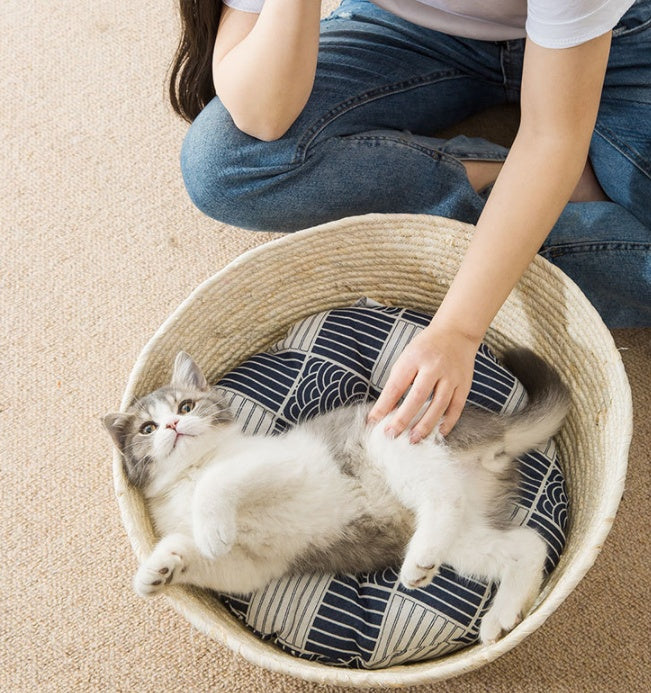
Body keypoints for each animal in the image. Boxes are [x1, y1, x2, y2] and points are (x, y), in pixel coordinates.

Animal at [104, 348, 568, 648]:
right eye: (147, 428)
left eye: (186, 405)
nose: (173, 426)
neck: (189, 473)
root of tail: (491, 427)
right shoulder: (252, 566)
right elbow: (204, 557)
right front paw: (159, 569)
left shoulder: (281, 462)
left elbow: (218, 481)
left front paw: (210, 528)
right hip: (466, 536)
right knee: (527, 544)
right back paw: (500, 617)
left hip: (393, 442)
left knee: (444, 497)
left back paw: (420, 561)